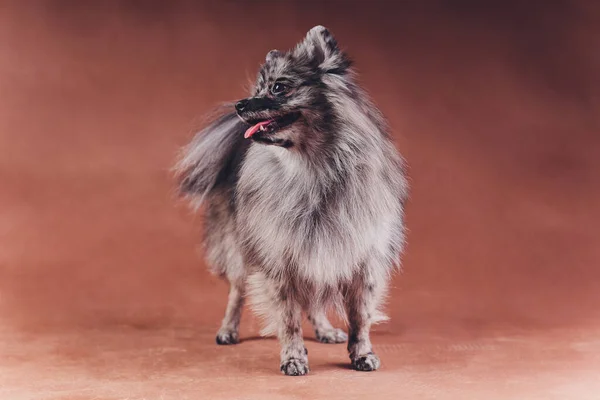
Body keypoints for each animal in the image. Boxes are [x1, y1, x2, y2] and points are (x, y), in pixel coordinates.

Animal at [173, 25, 408, 376]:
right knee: (237, 292)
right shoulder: (279, 261)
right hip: (240, 250)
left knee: (312, 301)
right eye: (258, 88)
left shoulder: (359, 260)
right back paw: (228, 330)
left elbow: (360, 317)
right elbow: (288, 319)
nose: (239, 105)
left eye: (278, 87)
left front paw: (362, 353)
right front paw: (294, 357)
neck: (314, 169)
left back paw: (325, 330)